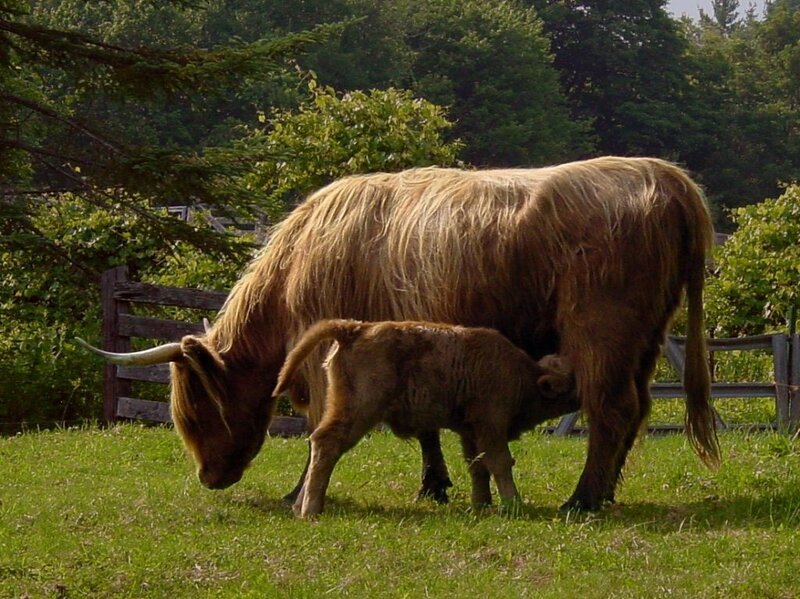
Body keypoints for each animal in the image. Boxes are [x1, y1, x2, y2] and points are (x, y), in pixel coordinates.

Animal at [272, 319, 577, 517]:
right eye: (572, 384)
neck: (523, 376)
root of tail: (356, 328)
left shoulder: (470, 431)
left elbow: (477, 465)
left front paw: (481, 503)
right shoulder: (491, 425)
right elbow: (500, 462)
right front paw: (513, 503)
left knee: (319, 444)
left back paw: (301, 505)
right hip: (359, 412)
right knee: (326, 443)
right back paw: (311, 509)